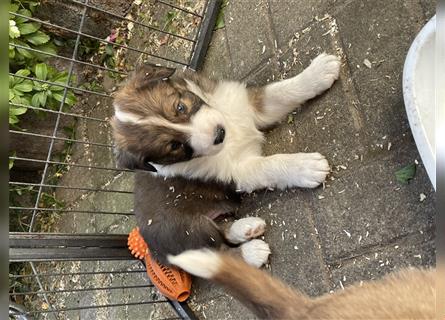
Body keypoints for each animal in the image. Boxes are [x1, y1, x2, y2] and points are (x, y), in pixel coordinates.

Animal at [112, 53, 340, 192]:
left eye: (180, 107)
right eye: (174, 146)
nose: (219, 133)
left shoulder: (245, 104)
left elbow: (281, 92)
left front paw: (319, 72)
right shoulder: (238, 170)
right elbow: (270, 165)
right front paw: (306, 167)